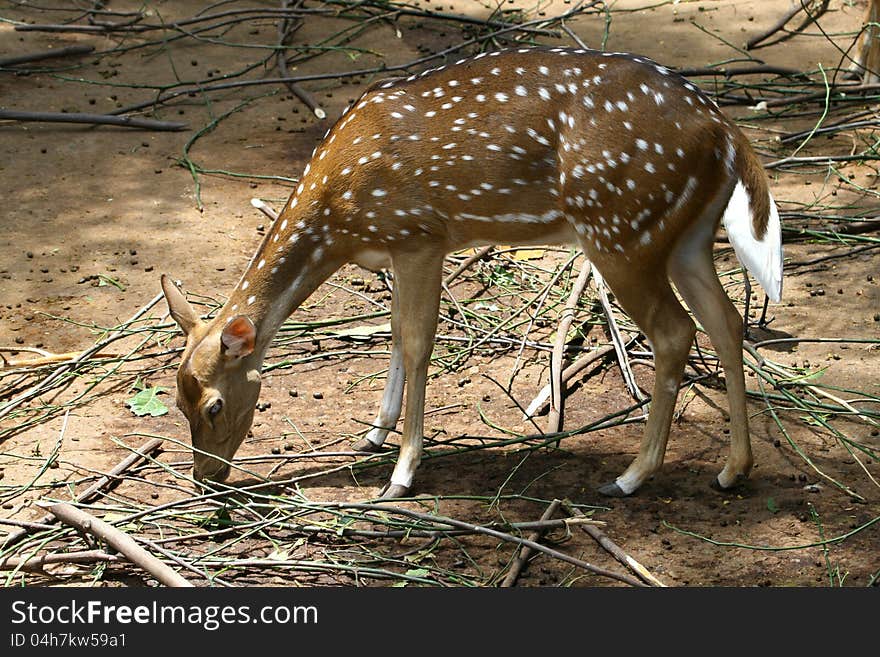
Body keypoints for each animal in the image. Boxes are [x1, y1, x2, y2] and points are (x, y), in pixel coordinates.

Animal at [162, 47, 780, 498]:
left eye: (215, 405)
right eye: (176, 402)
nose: (204, 477)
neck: (341, 220)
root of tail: (726, 132)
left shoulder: (419, 235)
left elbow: (416, 342)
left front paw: (402, 473)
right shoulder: (399, 249)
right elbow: (393, 335)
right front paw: (373, 433)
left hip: (620, 230)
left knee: (676, 331)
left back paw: (630, 477)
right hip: (685, 237)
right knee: (726, 321)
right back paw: (733, 469)